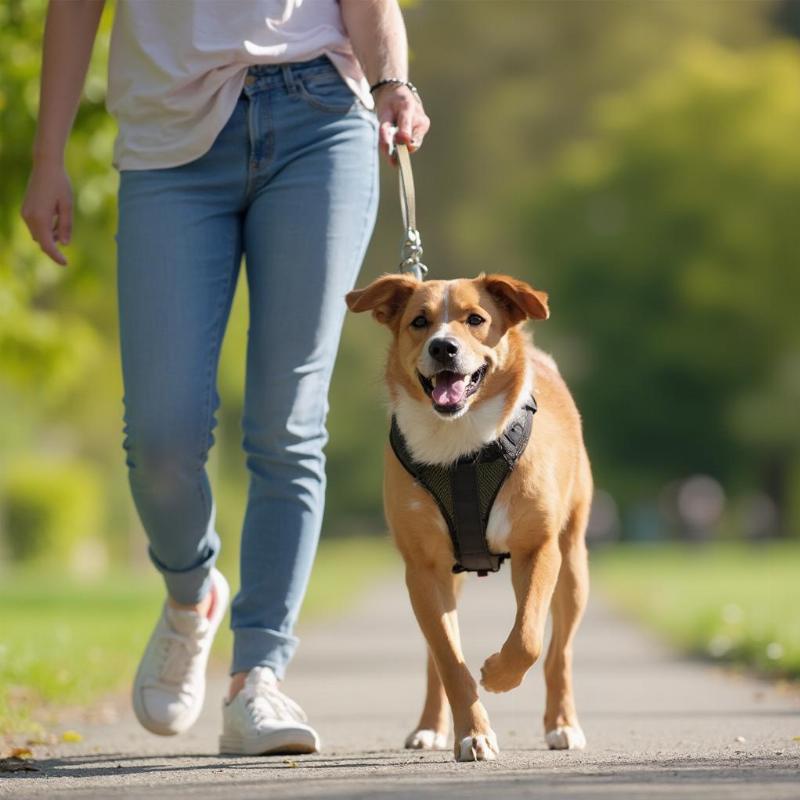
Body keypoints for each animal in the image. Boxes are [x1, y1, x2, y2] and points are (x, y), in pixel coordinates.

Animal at [346, 274, 592, 764]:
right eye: (419, 321)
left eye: (476, 319)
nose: (443, 347)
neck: (460, 447)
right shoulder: (424, 569)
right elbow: (449, 660)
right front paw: (473, 734)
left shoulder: (537, 549)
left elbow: (529, 638)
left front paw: (497, 674)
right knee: (435, 660)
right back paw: (429, 727)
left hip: (573, 563)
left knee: (560, 652)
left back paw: (562, 723)